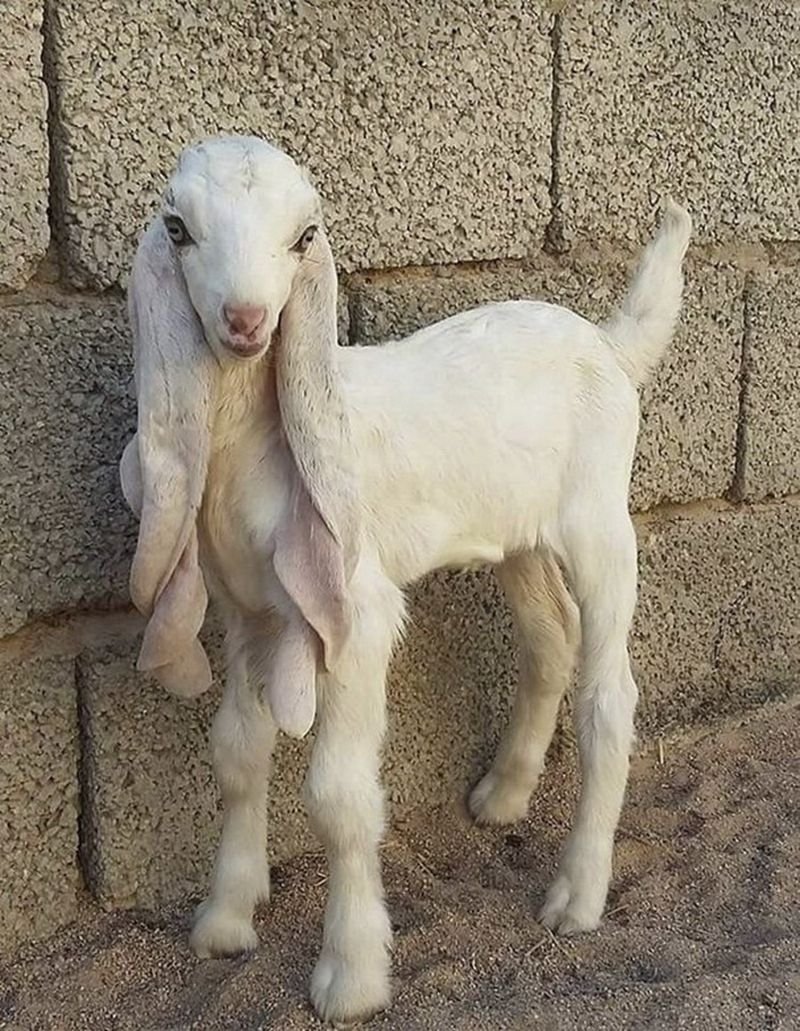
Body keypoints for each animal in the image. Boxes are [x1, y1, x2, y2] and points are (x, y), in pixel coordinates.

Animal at [119, 134, 692, 1023]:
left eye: (305, 236)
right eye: (177, 228)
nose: (246, 322)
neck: (256, 441)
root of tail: (607, 342)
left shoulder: (353, 610)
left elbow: (339, 796)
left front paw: (350, 975)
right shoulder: (251, 612)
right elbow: (238, 753)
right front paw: (224, 919)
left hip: (601, 518)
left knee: (610, 694)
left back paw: (577, 895)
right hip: (517, 534)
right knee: (549, 638)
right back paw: (503, 796)